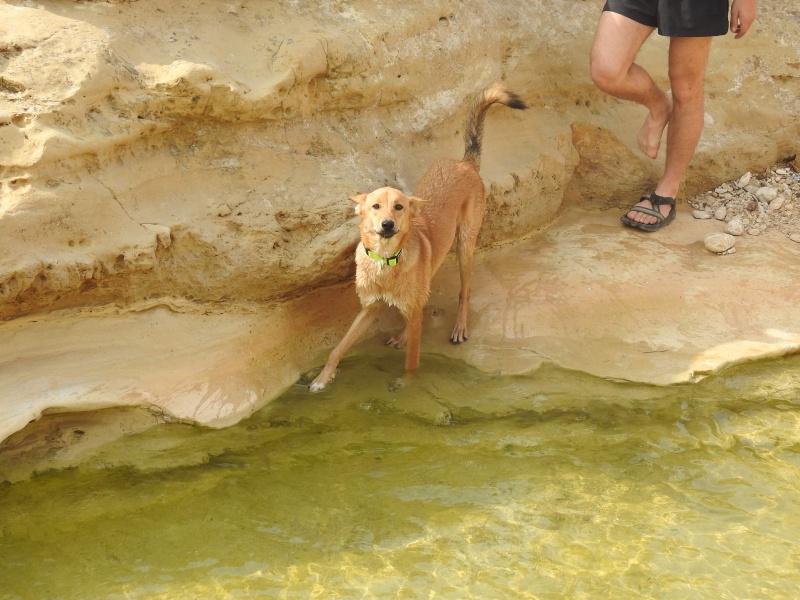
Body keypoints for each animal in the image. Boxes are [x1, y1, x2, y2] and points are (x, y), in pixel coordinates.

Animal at [310, 84, 528, 394]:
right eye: (375, 206)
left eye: (399, 207)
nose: (387, 225)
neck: (386, 262)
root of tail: (464, 163)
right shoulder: (369, 309)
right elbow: (338, 348)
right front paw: (321, 379)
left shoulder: (408, 317)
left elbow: (411, 364)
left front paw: (407, 386)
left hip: (465, 245)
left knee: (463, 292)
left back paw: (459, 328)